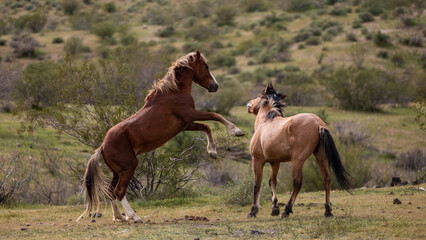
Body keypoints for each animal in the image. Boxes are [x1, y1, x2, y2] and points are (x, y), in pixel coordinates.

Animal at [76, 51, 243, 223]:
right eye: (206, 66)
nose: (214, 86)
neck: (174, 92)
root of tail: (102, 146)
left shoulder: (185, 124)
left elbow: (206, 127)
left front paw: (212, 152)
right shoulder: (190, 115)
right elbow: (215, 116)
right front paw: (236, 131)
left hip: (117, 171)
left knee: (110, 191)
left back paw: (119, 217)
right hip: (128, 167)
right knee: (119, 191)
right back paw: (134, 217)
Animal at [246, 83, 350, 218]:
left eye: (259, 95)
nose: (249, 104)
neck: (265, 122)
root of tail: (318, 124)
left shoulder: (257, 160)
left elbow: (256, 185)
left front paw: (253, 210)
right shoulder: (275, 162)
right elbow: (272, 181)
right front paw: (274, 208)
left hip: (297, 160)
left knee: (297, 183)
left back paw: (287, 210)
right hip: (321, 157)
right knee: (326, 179)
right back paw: (327, 211)